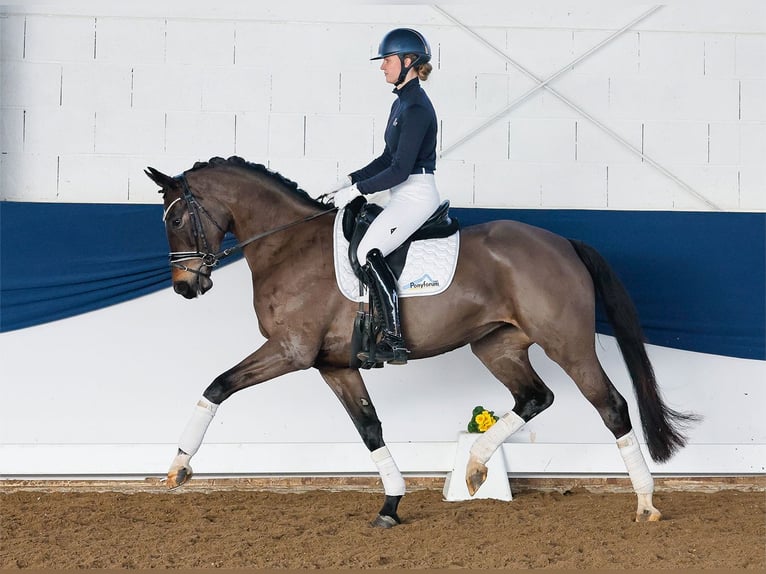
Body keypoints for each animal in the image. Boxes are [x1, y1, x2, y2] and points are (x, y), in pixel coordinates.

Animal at [144, 155, 696, 528]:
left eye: (176, 219)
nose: (186, 287)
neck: (288, 246)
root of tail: (563, 243)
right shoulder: (334, 365)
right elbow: (369, 428)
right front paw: (391, 504)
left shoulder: (291, 351)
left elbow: (217, 385)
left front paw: (177, 468)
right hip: (496, 345)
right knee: (534, 397)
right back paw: (474, 467)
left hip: (568, 344)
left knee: (611, 405)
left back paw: (646, 502)